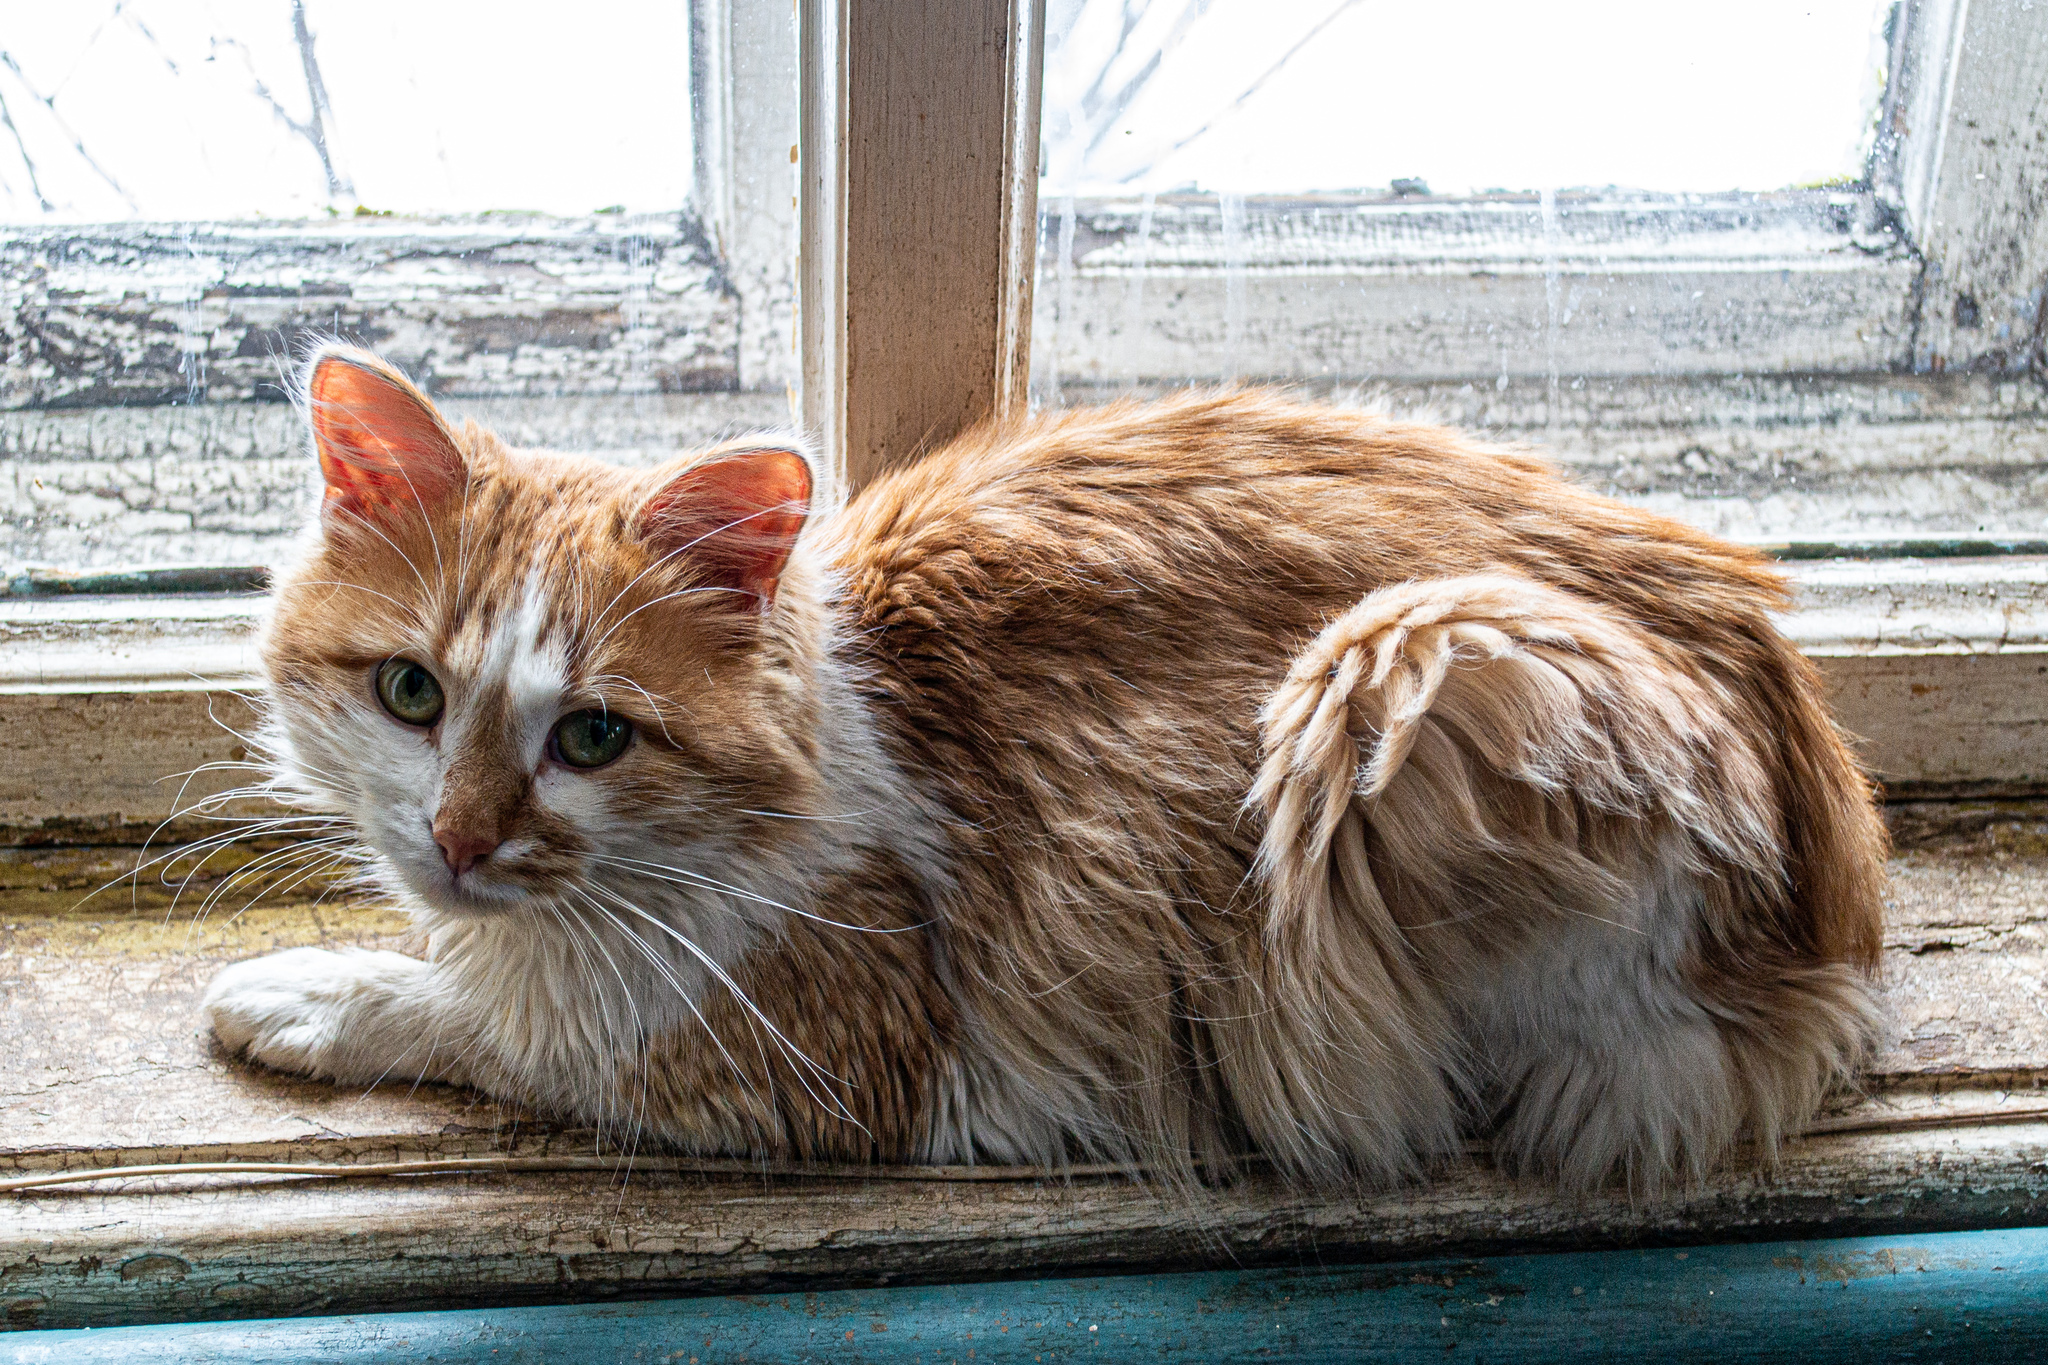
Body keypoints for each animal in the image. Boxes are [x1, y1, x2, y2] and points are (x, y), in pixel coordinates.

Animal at [203, 343, 1884, 1195]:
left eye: (592, 736)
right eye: (411, 694)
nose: (458, 838)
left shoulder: (819, 1058)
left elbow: (496, 1017)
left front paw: (312, 994)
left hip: (1404, 664)